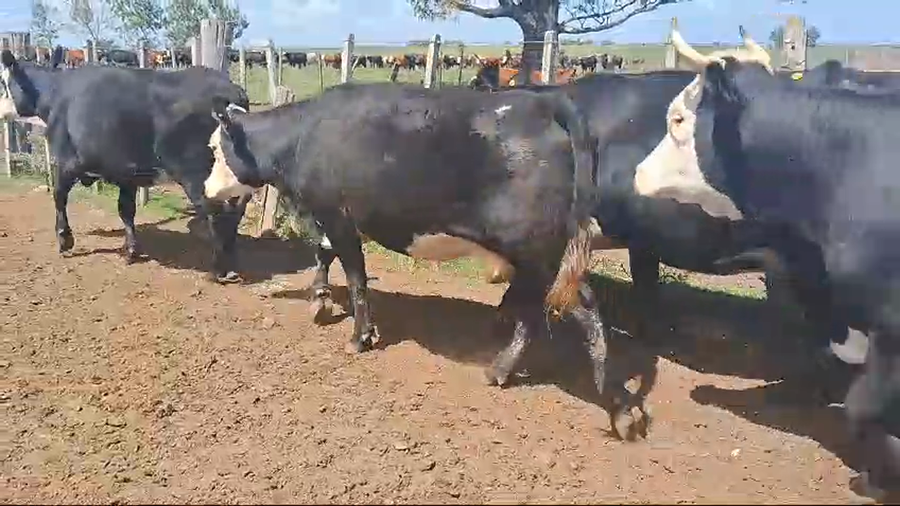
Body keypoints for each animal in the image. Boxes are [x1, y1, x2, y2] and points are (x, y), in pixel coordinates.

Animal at [0, 49, 251, 284]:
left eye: (2, 82)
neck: (57, 95)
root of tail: (229, 89)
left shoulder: (66, 162)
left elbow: (59, 196)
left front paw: (64, 239)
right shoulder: (126, 172)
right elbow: (126, 209)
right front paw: (131, 249)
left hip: (198, 175)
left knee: (216, 212)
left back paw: (219, 268)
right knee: (235, 210)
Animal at [201, 82, 651, 440]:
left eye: (214, 149)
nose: (206, 191)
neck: (305, 135)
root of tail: (544, 102)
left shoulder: (337, 215)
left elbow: (357, 276)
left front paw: (359, 336)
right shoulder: (349, 219)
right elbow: (325, 253)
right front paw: (320, 299)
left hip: (538, 249)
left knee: (575, 308)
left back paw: (609, 404)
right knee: (546, 310)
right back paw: (518, 374)